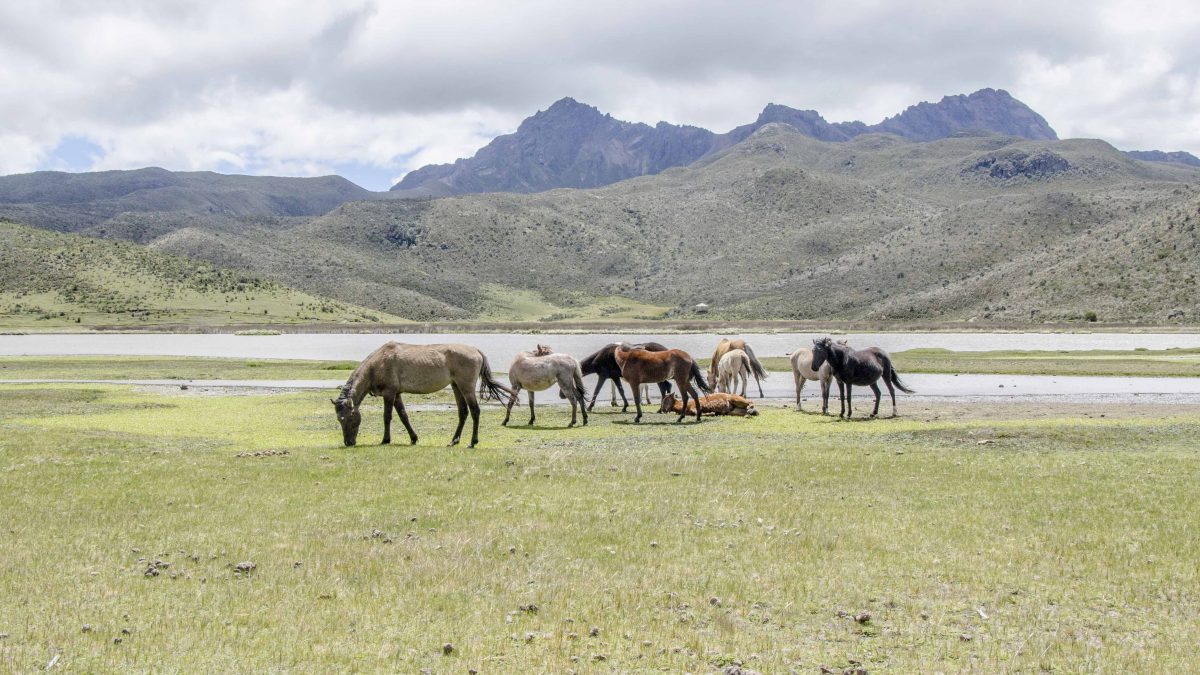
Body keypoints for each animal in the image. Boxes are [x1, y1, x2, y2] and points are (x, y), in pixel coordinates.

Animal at [333, 341, 511, 446]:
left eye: (349, 417)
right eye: (339, 419)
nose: (348, 442)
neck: (377, 364)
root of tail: (476, 350)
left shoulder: (389, 393)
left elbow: (387, 417)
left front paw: (385, 439)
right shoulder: (397, 394)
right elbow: (403, 416)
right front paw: (413, 438)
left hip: (466, 387)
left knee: (475, 411)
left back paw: (473, 441)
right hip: (456, 386)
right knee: (463, 412)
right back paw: (454, 440)